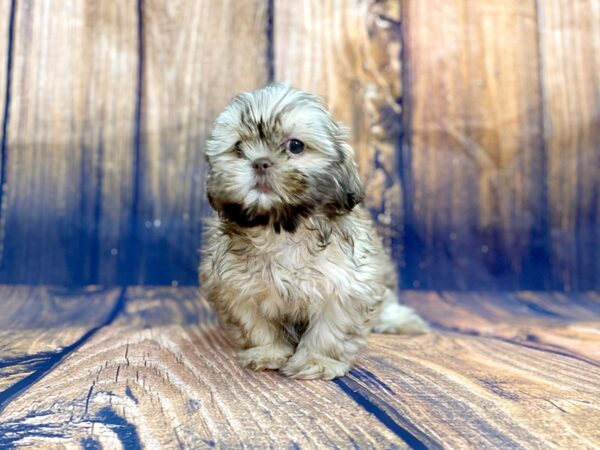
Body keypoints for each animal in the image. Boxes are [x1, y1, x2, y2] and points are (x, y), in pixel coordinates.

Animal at [202, 84, 426, 380]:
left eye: (295, 146)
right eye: (238, 148)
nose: (259, 162)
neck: (282, 229)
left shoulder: (347, 284)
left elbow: (330, 329)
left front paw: (317, 360)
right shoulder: (234, 287)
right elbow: (257, 325)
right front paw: (268, 352)